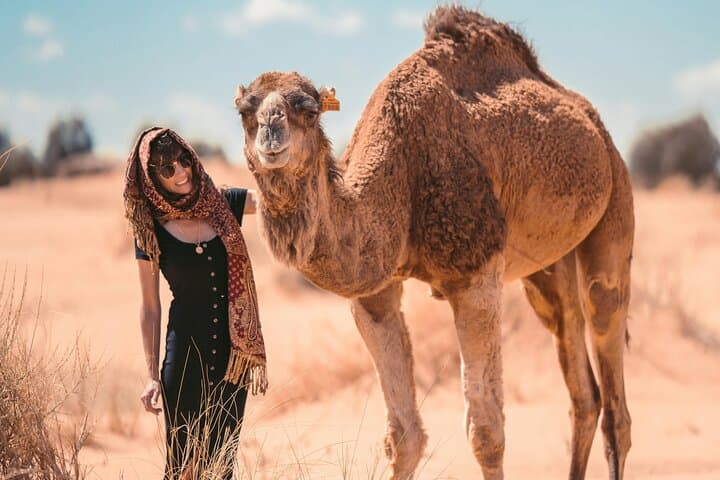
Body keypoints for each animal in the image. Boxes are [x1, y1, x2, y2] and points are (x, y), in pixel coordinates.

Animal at [233, 6, 634, 480]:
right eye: (244, 111)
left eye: (309, 110)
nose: (271, 135)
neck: (399, 177)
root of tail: (593, 122)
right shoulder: (375, 295)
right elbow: (404, 435)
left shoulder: (476, 274)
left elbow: (486, 432)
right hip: (547, 269)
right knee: (582, 389)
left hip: (614, 208)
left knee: (611, 374)